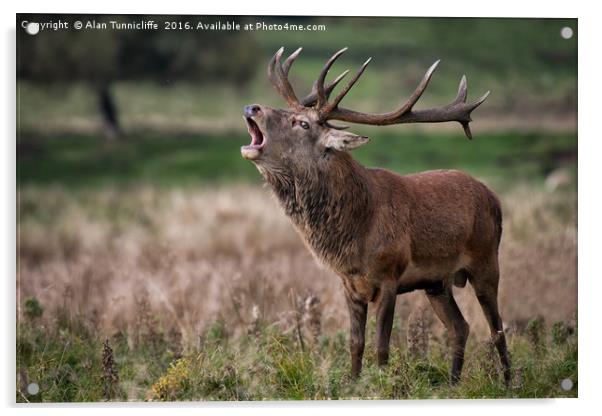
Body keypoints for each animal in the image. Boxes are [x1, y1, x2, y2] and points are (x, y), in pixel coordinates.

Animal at [240, 47, 510, 386]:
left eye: (302, 123)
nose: (252, 107)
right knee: (460, 327)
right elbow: (356, 343)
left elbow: (382, 346)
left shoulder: (389, 276)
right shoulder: (348, 283)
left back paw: (508, 381)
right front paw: (353, 383)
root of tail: (494, 198)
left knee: (497, 328)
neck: (355, 232)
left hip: (486, 260)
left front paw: (386, 385)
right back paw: (452, 383)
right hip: (437, 282)